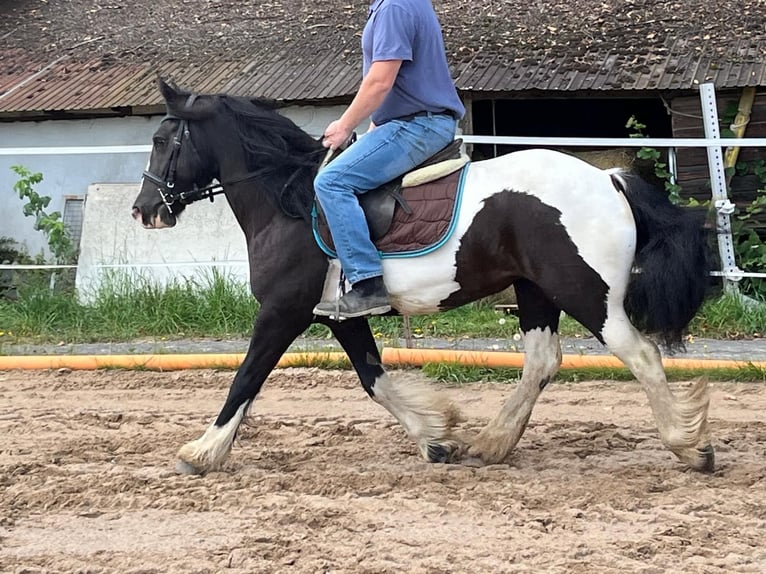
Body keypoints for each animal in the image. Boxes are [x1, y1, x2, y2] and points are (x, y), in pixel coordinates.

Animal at [130, 82, 712, 476]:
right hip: (536, 290)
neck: (289, 200)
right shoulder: (338, 317)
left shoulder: (282, 311)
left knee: (641, 356)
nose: (143, 210)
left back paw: (691, 447)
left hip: (587, 293)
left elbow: (246, 378)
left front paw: (202, 452)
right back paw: (492, 444)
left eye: (161, 139)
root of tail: (609, 178)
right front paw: (436, 440)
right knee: (543, 362)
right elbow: (375, 380)